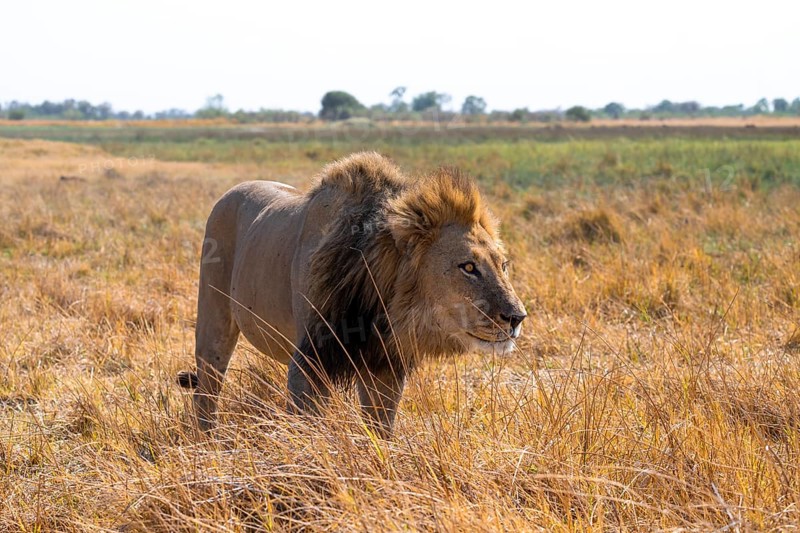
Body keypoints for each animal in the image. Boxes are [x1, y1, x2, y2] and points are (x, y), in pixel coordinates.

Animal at [178, 152, 527, 437]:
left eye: (503, 265)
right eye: (468, 267)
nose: (517, 317)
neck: (384, 308)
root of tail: (233, 190)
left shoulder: (385, 364)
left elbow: (381, 430)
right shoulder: (311, 359)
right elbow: (308, 431)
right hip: (213, 322)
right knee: (206, 391)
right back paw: (208, 444)